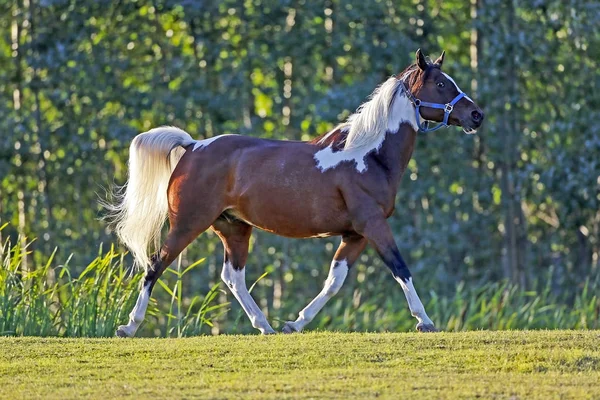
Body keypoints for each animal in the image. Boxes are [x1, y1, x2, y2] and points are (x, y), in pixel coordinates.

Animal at [110, 50, 486, 338]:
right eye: (441, 84)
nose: (476, 115)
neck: (369, 155)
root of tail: (191, 146)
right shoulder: (374, 225)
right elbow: (400, 267)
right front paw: (425, 320)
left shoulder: (355, 235)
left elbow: (334, 281)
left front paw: (296, 323)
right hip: (188, 223)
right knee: (155, 265)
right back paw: (129, 327)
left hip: (234, 228)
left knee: (233, 277)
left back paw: (265, 326)